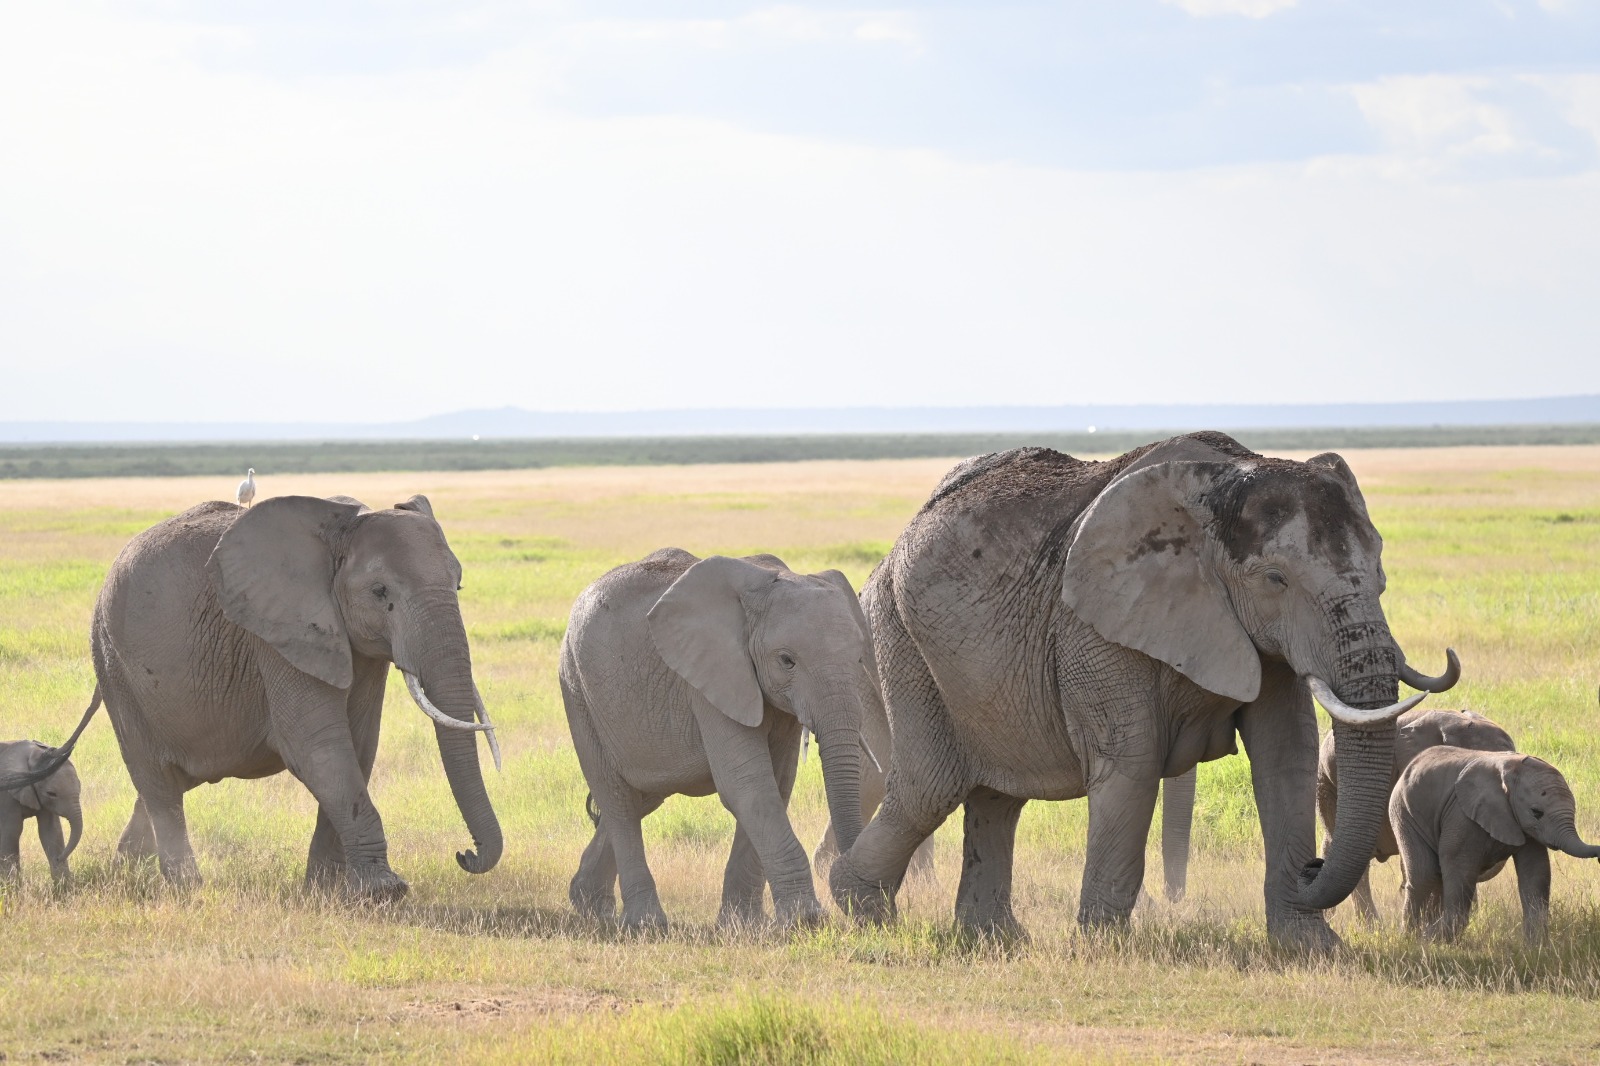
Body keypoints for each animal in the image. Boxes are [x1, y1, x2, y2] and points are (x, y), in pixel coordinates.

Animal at [1, 740, 83, 885]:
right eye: (51, 793)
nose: (59, 858)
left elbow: (51, 830)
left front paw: (63, 885)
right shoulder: (7, 796)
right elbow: (11, 833)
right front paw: (12, 887)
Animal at [560, 549, 877, 930]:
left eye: (860, 658)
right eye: (787, 661)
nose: (858, 906)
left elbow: (778, 783)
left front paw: (744, 923)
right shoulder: (710, 681)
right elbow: (748, 786)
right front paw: (805, 920)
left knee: (642, 796)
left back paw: (592, 906)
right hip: (578, 690)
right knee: (617, 798)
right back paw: (645, 924)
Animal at [828, 432, 1451, 950]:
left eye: (1381, 574)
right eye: (1276, 579)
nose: (1313, 868)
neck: (1221, 484)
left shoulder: (1265, 643)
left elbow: (1285, 757)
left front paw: (1314, 949)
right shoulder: (1093, 624)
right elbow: (1130, 762)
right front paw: (1103, 950)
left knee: (996, 798)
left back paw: (996, 940)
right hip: (901, 638)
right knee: (929, 788)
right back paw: (864, 912)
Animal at [1390, 746, 1600, 943]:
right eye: (1536, 812)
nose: (1599, 855)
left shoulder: (1525, 827)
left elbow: (1536, 873)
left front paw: (1536, 948)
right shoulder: (1462, 814)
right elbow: (1461, 870)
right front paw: (1427, 939)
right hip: (1403, 812)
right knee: (1425, 875)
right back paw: (1410, 938)